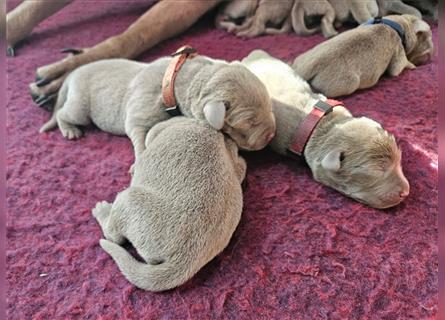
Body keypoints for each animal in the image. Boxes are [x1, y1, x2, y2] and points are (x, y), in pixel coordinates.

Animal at [94, 116, 246, 292]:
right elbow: (241, 164)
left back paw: (101, 211)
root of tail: (186, 257)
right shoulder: (234, 159)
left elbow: (149, 137)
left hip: (128, 199)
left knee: (114, 236)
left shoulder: (165, 126)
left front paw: (134, 166)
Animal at [294, 14, 432, 96]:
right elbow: (400, 67)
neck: (396, 23)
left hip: (302, 57)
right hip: (348, 84)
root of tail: (304, 70)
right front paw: (412, 65)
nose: (429, 57)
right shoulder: (398, 56)